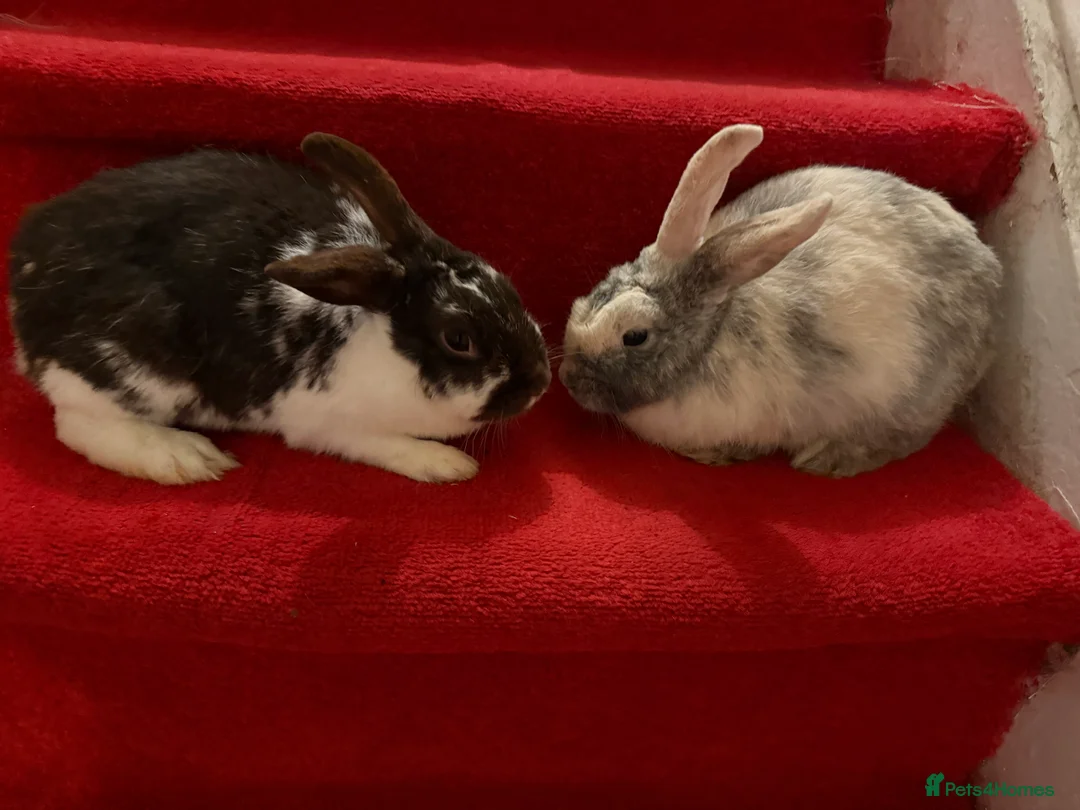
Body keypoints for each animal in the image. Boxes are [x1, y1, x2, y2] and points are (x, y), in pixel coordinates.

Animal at [7, 133, 551, 485]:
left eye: (505, 282)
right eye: (459, 339)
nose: (540, 382)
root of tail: (23, 270)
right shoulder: (330, 425)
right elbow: (387, 444)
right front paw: (445, 465)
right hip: (137, 370)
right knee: (77, 424)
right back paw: (186, 459)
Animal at [558, 124, 1003, 478]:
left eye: (635, 336)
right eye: (605, 280)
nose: (567, 378)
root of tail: (990, 271)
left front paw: (714, 456)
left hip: (912, 400)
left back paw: (827, 459)